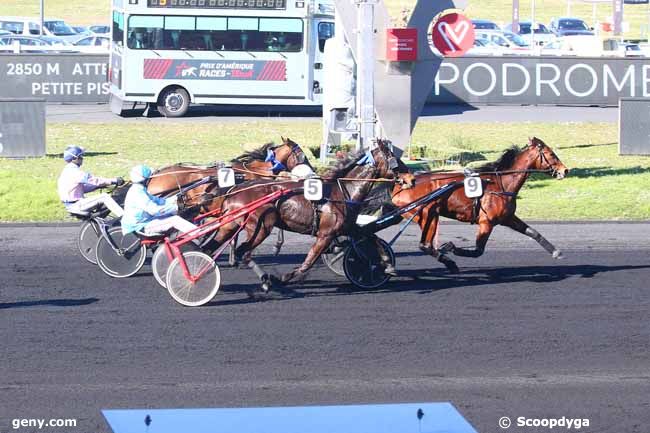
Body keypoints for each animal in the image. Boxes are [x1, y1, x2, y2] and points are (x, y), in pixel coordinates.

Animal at [213, 140, 416, 292]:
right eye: (394, 160)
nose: (412, 179)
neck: (343, 192)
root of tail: (233, 191)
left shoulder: (348, 227)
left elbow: (369, 237)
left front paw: (385, 264)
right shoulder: (325, 234)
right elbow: (309, 261)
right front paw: (281, 278)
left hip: (230, 225)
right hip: (261, 226)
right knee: (244, 252)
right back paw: (264, 280)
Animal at [390, 137, 568, 272]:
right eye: (551, 154)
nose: (565, 170)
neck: (501, 183)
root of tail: (400, 187)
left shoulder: (507, 218)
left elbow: (533, 232)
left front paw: (556, 252)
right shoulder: (486, 222)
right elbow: (478, 251)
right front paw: (451, 247)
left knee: (426, 245)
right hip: (428, 214)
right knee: (425, 245)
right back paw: (450, 263)